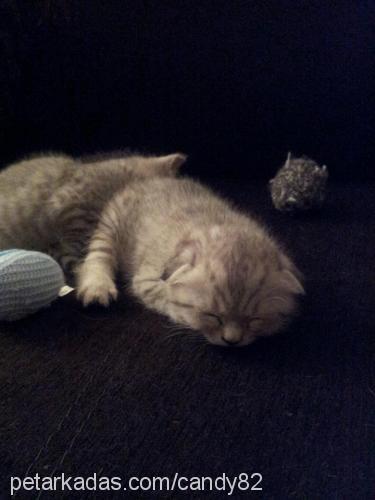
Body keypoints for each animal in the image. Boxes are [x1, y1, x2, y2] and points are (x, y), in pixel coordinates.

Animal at [0, 152, 304, 348]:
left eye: (254, 320)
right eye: (213, 316)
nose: (232, 341)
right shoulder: (144, 275)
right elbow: (165, 295)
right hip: (109, 228)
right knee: (98, 257)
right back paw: (97, 287)